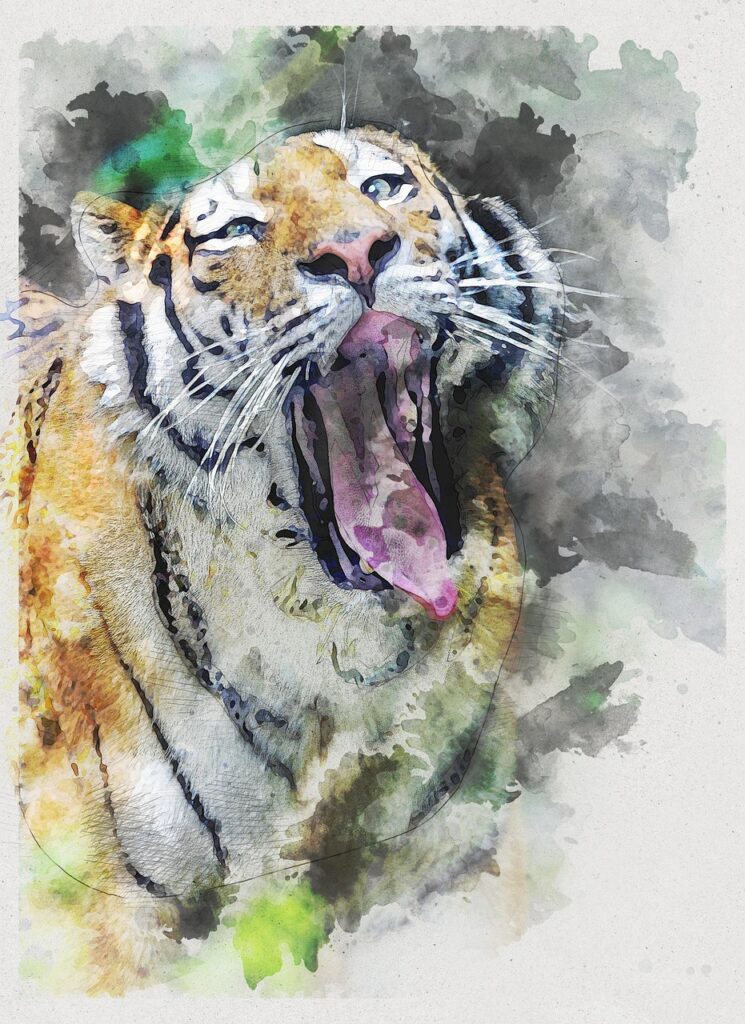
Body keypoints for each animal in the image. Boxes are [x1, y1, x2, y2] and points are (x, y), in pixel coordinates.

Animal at [12, 125, 563, 992]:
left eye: (382, 186)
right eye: (239, 230)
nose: (357, 252)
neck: (332, 643)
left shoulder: (441, 848)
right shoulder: (96, 907)